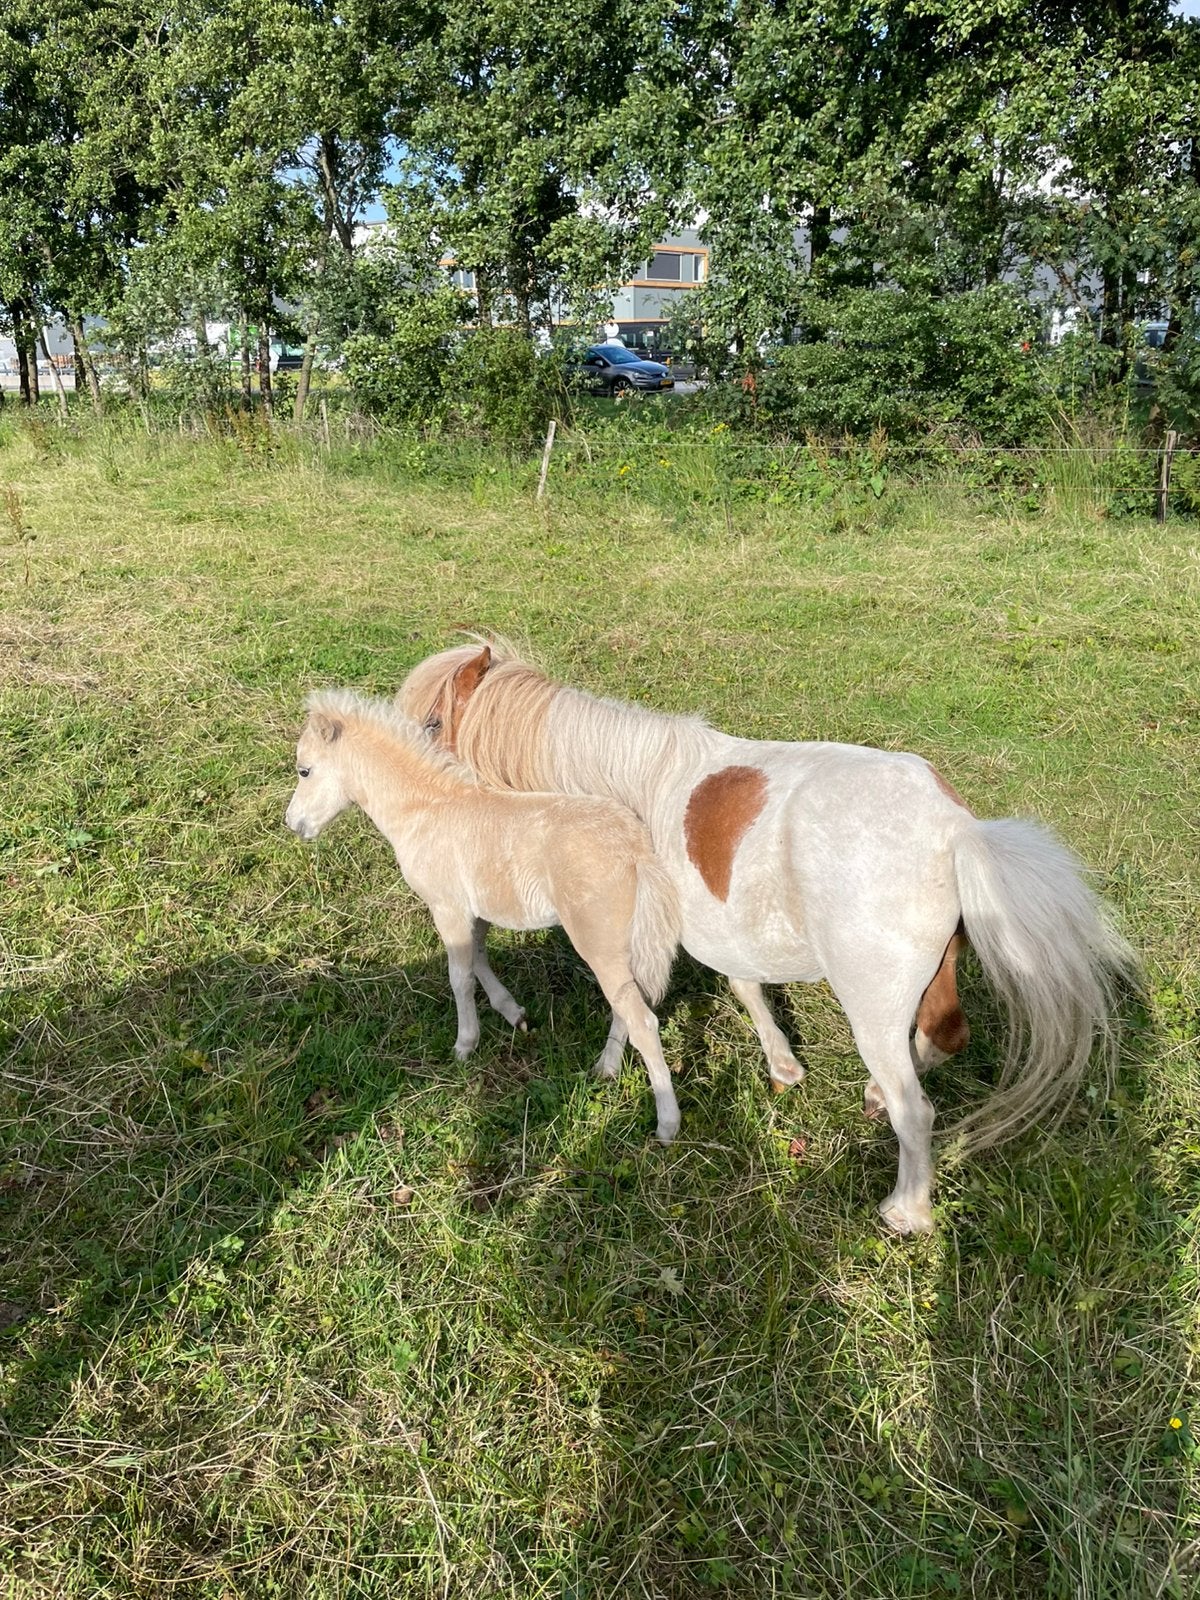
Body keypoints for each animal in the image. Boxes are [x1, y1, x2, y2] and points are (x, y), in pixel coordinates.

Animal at [284, 690, 682, 1141]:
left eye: (304, 770)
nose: (293, 824)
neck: (425, 808)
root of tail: (637, 849)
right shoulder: (475, 910)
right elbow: (477, 959)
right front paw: (513, 1013)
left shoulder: (447, 908)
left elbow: (459, 977)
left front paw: (465, 1045)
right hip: (619, 948)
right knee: (625, 1008)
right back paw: (606, 1068)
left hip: (598, 943)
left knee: (643, 1021)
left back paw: (667, 1123)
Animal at [397, 642, 1137, 1234]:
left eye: (432, 725)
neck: (625, 789)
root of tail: (956, 831)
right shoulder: (720, 932)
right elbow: (744, 989)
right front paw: (782, 1065)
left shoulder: (631, 926)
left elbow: (630, 1003)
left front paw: (614, 1070)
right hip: (937, 974)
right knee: (944, 1039)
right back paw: (878, 1101)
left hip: (871, 1006)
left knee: (916, 1110)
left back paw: (906, 1211)